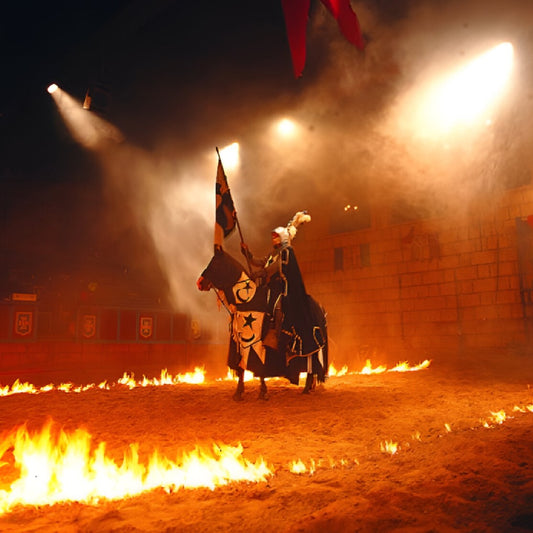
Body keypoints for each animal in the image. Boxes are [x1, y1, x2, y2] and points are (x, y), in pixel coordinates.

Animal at [197, 246, 326, 400]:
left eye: (215, 264)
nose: (200, 283)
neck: (248, 300)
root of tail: (319, 306)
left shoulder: (255, 342)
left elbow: (260, 369)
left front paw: (263, 391)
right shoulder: (240, 343)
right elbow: (241, 368)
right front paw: (238, 392)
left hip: (311, 346)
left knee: (311, 364)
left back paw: (306, 389)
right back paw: (308, 387)